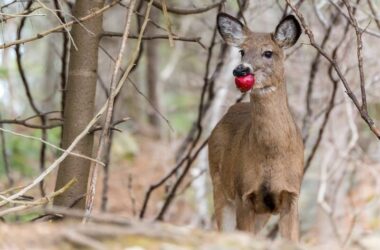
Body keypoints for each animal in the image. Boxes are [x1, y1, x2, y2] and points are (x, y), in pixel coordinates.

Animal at [209, 12, 304, 241]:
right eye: (242, 51)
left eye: (268, 52)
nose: (240, 69)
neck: (271, 155)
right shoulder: (244, 193)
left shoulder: (291, 193)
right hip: (219, 185)